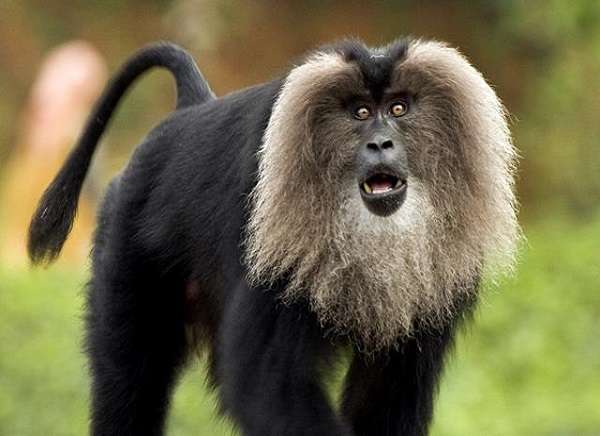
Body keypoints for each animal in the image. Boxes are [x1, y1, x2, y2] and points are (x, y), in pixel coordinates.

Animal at [28, 38, 516, 436]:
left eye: (398, 109)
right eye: (360, 112)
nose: (381, 144)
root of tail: (187, 113)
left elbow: (386, 394)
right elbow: (266, 384)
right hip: (125, 251)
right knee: (131, 382)